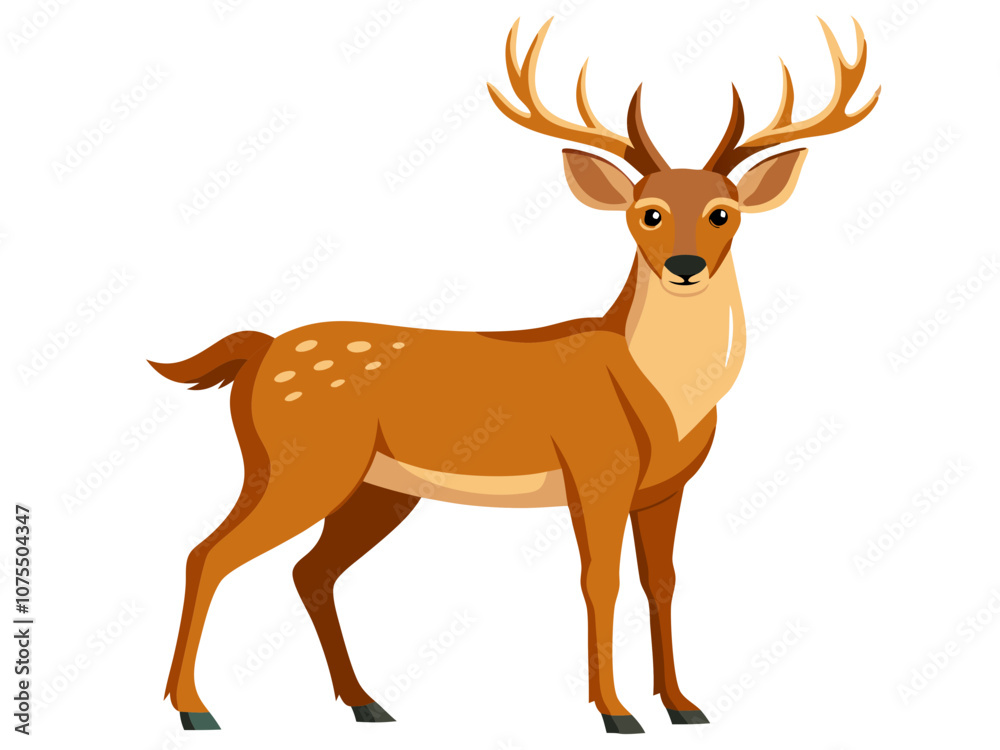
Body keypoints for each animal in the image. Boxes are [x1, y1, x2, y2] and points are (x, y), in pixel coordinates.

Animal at [150, 16, 879, 734]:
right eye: (648, 212)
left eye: (723, 212)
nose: (686, 265)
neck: (664, 401)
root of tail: (261, 350)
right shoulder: (596, 468)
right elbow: (600, 581)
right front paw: (616, 713)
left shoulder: (664, 488)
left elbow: (663, 582)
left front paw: (682, 704)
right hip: (300, 461)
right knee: (208, 554)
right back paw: (194, 708)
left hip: (375, 486)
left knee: (310, 570)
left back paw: (366, 703)